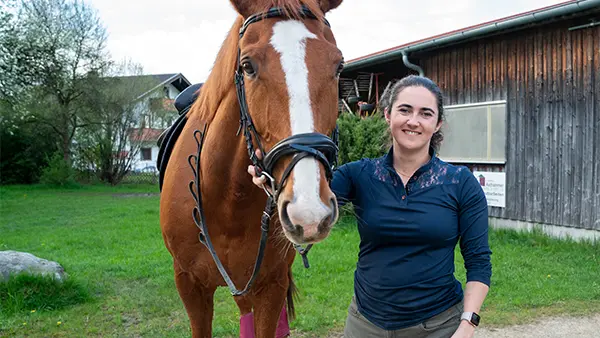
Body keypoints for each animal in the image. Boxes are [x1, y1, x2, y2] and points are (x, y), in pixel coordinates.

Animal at [158, 1, 346, 336]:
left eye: (338, 66)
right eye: (247, 66)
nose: (309, 212)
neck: (227, 199)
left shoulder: (270, 286)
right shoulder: (189, 285)